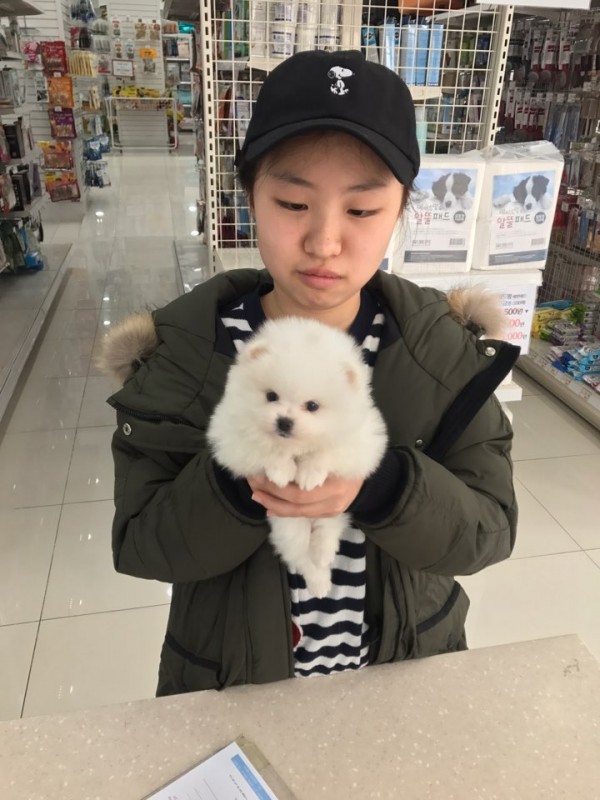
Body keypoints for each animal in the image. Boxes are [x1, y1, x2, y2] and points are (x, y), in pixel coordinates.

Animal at [207, 317, 388, 597]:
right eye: (271, 396)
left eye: (312, 406)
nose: (284, 422)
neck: (296, 445)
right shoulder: (231, 435)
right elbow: (262, 445)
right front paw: (282, 470)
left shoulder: (362, 440)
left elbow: (328, 450)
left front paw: (309, 474)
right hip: (288, 526)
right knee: (302, 556)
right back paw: (319, 581)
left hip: (332, 512)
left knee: (327, 530)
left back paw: (323, 554)